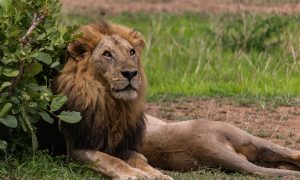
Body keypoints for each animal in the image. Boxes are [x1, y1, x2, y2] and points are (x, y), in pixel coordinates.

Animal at [37, 21, 171, 180]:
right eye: (107, 54)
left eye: (131, 52)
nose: (131, 73)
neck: (110, 104)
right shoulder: (75, 148)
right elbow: (111, 160)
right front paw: (134, 174)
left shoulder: (122, 146)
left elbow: (139, 160)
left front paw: (158, 174)